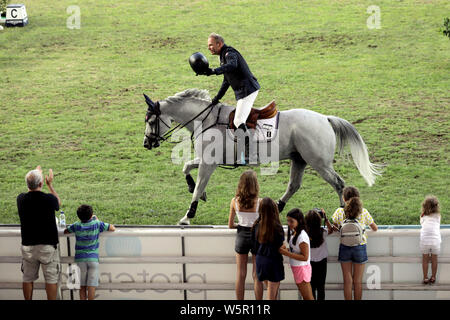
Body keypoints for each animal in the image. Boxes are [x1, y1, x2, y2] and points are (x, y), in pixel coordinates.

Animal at [142, 88, 382, 225]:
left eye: (151, 121)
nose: (146, 143)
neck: (206, 119)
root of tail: (325, 118)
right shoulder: (207, 160)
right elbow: (187, 169)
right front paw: (197, 192)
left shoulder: (209, 164)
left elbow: (198, 184)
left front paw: (188, 216)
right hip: (299, 160)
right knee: (294, 185)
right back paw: (277, 207)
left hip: (319, 163)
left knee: (338, 183)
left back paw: (345, 214)